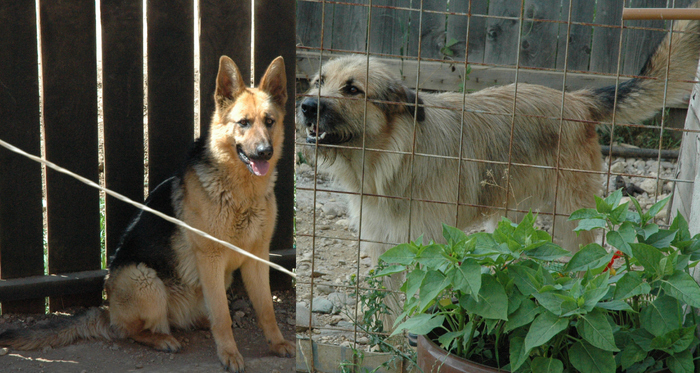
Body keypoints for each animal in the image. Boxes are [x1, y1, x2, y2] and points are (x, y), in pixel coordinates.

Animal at [0, 56, 296, 370]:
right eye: (243, 123)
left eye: (269, 121)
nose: (265, 151)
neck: (241, 193)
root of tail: (107, 311)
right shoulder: (211, 258)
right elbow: (223, 317)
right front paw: (229, 353)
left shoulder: (257, 257)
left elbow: (265, 310)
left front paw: (277, 344)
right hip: (145, 280)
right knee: (132, 331)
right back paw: (163, 339)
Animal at [296, 8, 700, 322]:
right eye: (319, 81)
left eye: (352, 89)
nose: (306, 106)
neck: (389, 161)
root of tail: (577, 100)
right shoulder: (386, 248)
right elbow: (394, 310)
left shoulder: (427, 247)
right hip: (509, 216)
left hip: (572, 217)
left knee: (587, 261)